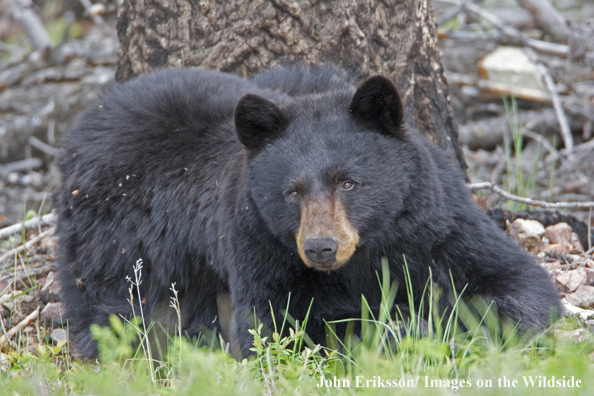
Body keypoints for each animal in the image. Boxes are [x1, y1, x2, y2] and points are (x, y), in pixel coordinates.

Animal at [53, 65, 556, 358]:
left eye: (348, 182)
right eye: (291, 192)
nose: (320, 247)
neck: (364, 254)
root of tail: (89, 119)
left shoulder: (435, 221)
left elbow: (512, 281)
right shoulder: (257, 242)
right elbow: (277, 328)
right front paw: (395, 329)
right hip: (118, 249)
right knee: (116, 312)